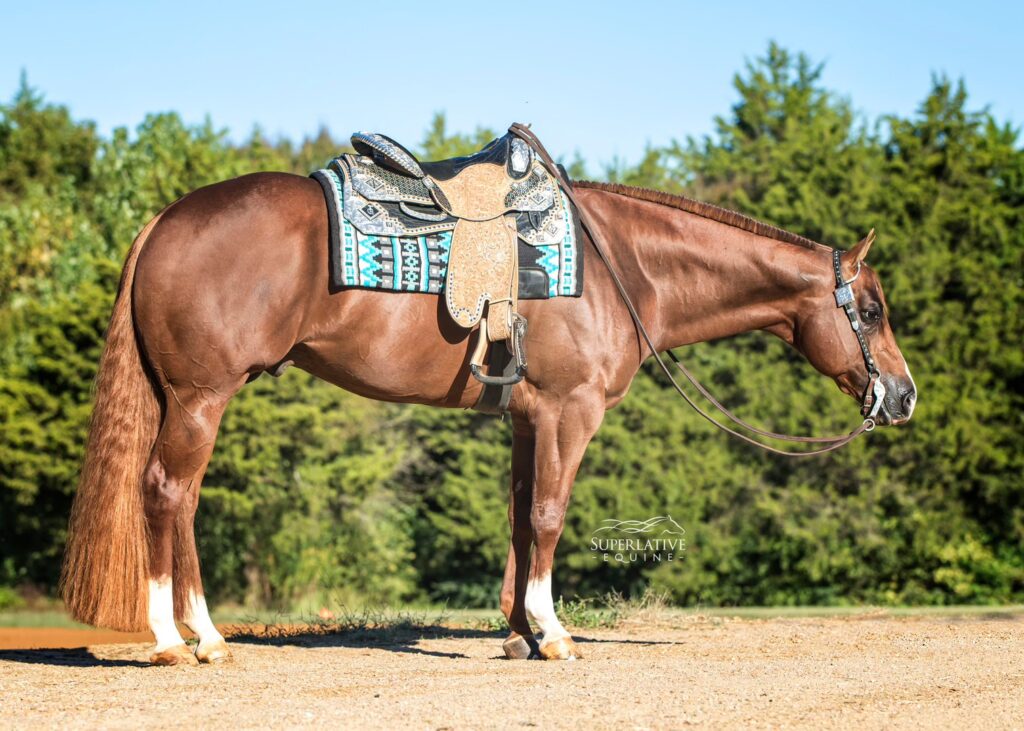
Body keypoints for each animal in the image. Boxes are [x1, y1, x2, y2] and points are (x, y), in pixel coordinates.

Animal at [59, 174, 917, 663]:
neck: (622, 266)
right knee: (167, 492)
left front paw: (517, 632)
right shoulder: (568, 413)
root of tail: (164, 220)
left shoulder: (526, 420)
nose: (903, 396)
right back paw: (177, 639)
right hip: (200, 398)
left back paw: (203, 633)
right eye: (871, 309)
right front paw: (554, 633)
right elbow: (548, 515)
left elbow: (517, 517)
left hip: (191, 400)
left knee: (182, 501)